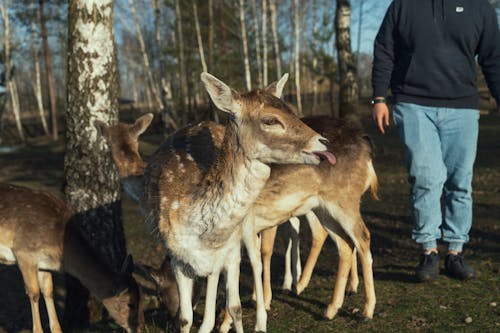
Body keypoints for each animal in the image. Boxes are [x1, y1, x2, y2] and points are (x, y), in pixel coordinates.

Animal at [0, 183, 145, 330]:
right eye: (131, 303)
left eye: (143, 300)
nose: (140, 327)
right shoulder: (24, 252)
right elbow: (34, 293)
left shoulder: (43, 265)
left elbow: (48, 291)